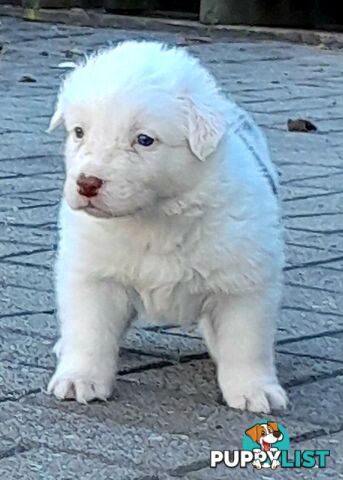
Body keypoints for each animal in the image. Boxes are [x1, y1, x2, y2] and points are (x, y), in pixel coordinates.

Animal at [47, 42, 286, 412]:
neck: (155, 218)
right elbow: (90, 332)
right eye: (79, 132)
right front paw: (79, 379)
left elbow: (245, 342)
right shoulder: (92, 275)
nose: (86, 184)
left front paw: (254, 390)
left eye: (145, 140)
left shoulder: (245, 282)